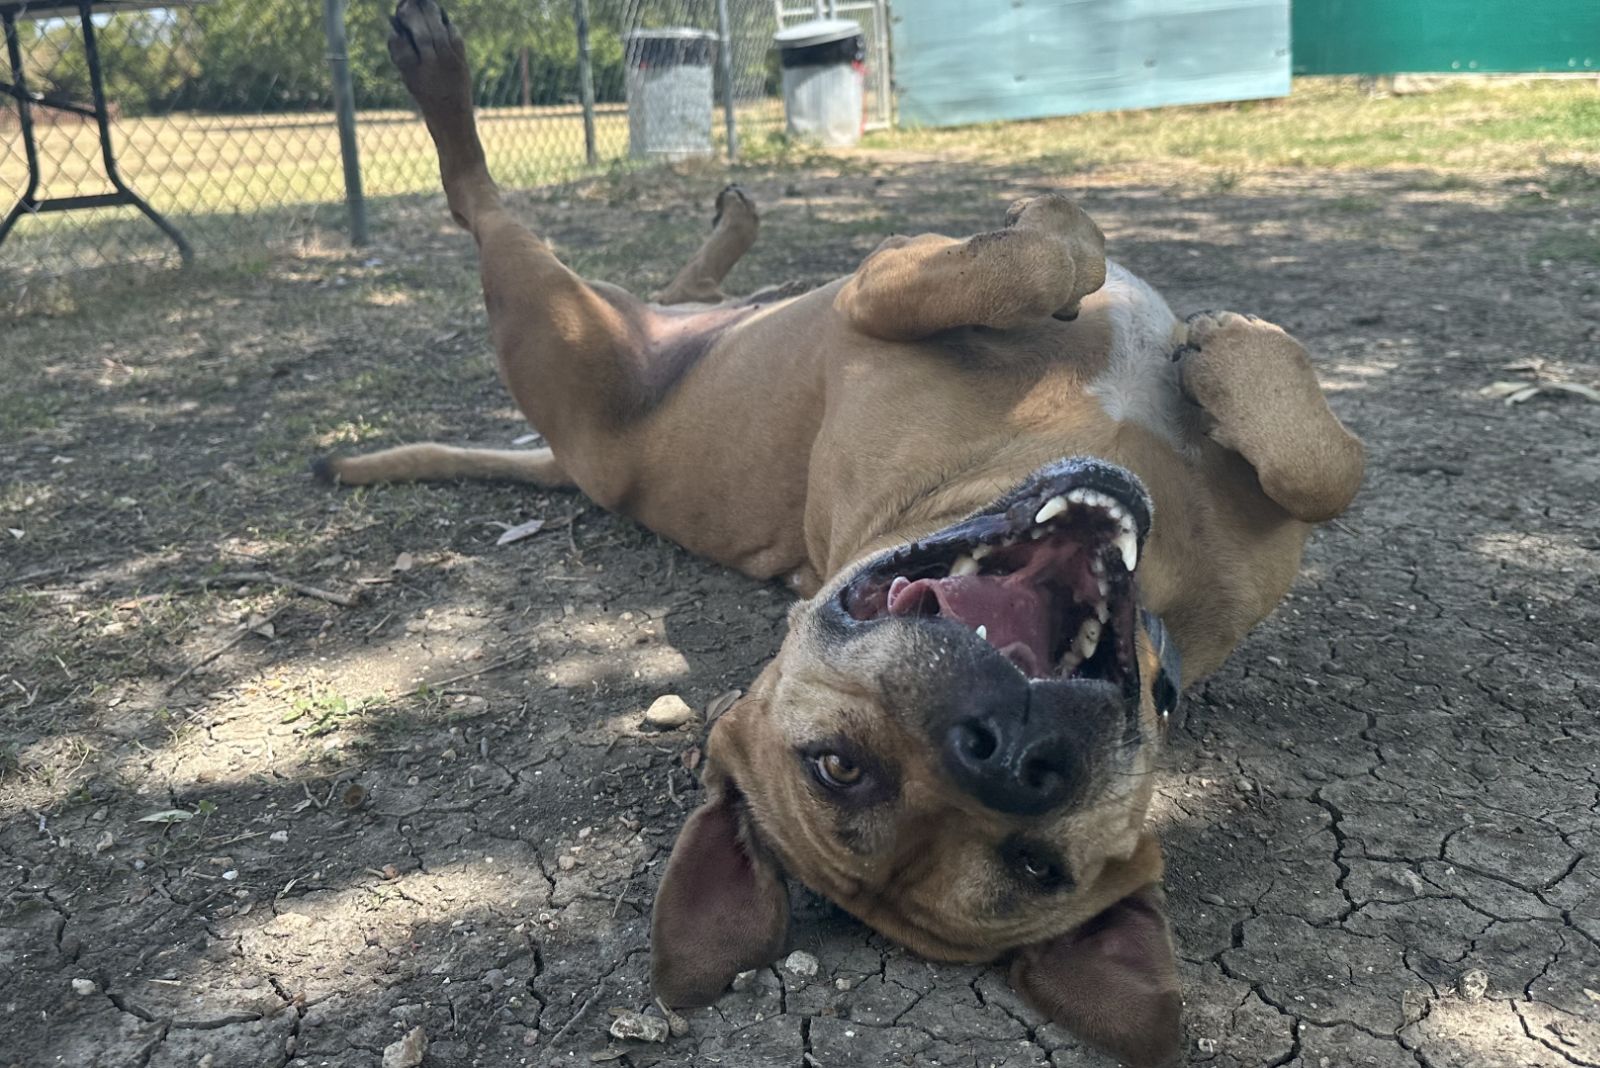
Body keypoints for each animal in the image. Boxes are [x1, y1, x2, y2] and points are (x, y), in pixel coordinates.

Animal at [321, 4, 1363, 1061]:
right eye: (838, 767)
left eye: (1039, 868)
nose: (1004, 749)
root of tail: (575, 464)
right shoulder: (881, 287)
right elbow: (1048, 255)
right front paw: (1084, 246)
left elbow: (1325, 471)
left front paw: (1226, 361)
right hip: (566, 325)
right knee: (480, 205)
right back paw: (442, 74)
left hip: (620, 323)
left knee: (667, 280)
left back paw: (728, 225)